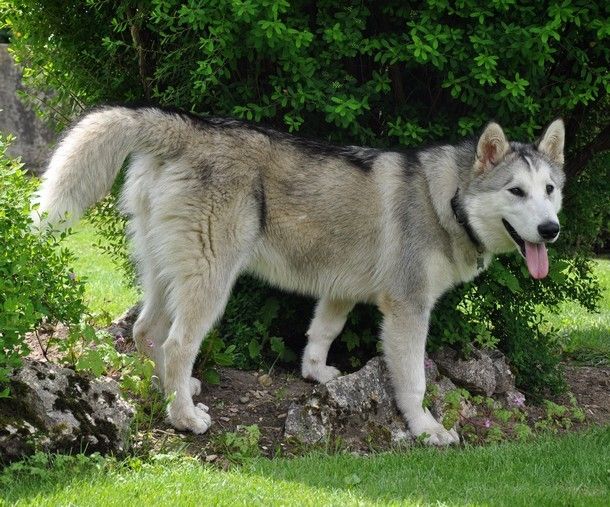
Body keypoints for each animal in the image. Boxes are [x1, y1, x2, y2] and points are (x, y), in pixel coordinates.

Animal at [34, 106, 565, 445]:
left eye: (550, 190)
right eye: (516, 191)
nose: (551, 229)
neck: (448, 200)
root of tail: (187, 127)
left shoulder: (340, 291)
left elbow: (321, 334)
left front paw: (317, 376)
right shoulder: (408, 310)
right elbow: (413, 381)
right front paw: (426, 429)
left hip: (166, 274)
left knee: (145, 332)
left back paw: (169, 390)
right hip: (212, 282)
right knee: (177, 343)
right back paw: (184, 417)